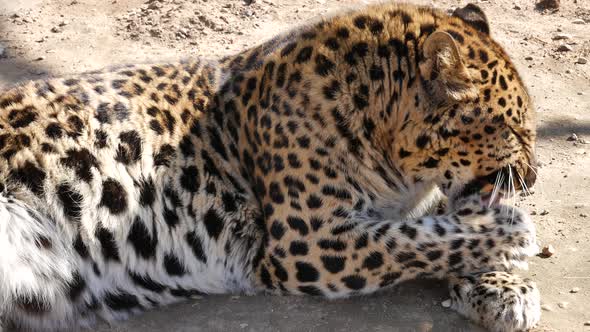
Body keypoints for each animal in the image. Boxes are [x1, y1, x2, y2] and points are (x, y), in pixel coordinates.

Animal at [0, 3, 540, 332]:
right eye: (513, 130)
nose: (532, 179)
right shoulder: (310, 241)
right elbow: (417, 241)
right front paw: (511, 234)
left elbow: (440, 226)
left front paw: (502, 286)